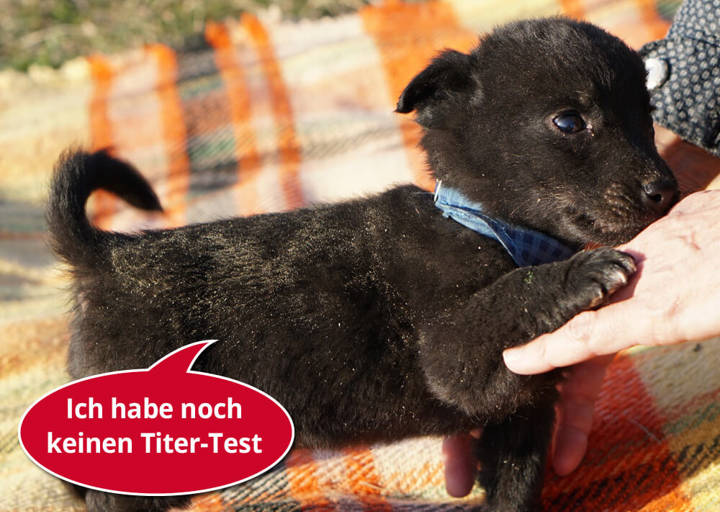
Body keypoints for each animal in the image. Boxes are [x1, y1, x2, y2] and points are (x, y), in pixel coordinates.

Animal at [48, 17, 677, 512]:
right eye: (569, 122)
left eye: (647, 119)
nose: (665, 190)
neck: (489, 227)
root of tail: (105, 252)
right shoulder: (451, 352)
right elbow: (513, 290)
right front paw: (581, 274)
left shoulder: (524, 410)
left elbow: (516, 487)